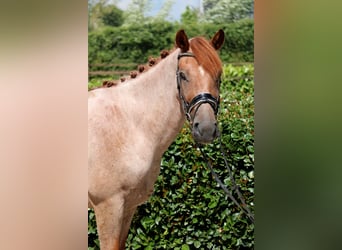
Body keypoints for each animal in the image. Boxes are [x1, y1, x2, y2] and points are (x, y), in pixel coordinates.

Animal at [89, 28, 224, 249]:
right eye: (183, 75)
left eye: (218, 76)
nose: (205, 129)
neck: (130, 124)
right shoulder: (108, 207)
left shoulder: (128, 207)